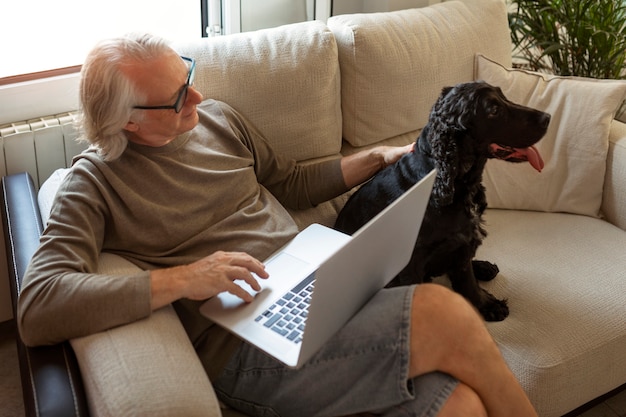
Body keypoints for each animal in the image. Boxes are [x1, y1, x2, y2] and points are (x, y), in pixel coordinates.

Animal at [336, 82, 544, 322]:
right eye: (494, 110)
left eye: (504, 96)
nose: (547, 117)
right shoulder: (412, 262)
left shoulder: (464, 240)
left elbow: (467, 279)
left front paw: (486, 303)